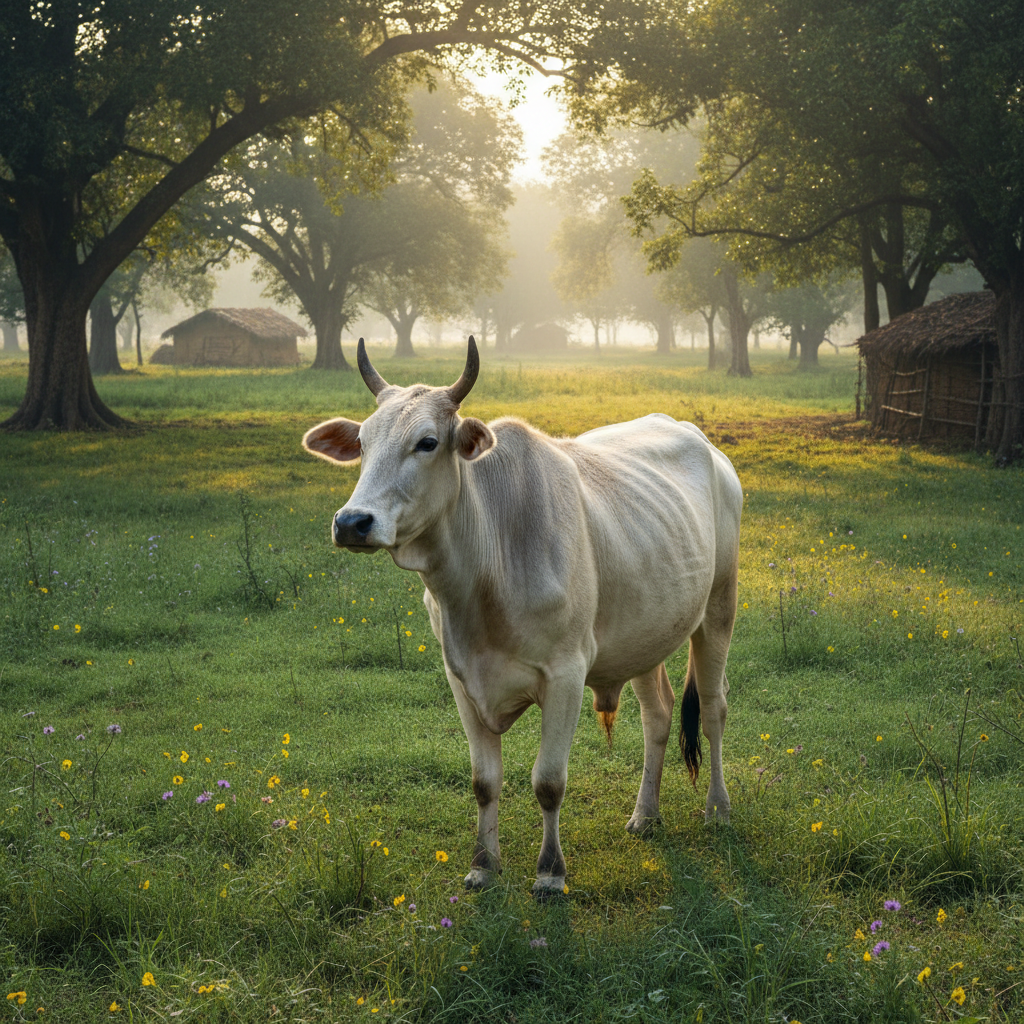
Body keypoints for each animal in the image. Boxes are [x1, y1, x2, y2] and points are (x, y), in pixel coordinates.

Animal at [302, 337, 742, 897]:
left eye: (427, 442)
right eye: (361, 442)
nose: (352, 522)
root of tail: (701, 439)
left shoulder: (566, 675)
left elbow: (549, 782)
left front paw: (550, 872)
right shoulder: (460, 678)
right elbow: (484, 782)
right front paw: (483, 865)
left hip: (719, 609)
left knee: (712, 709)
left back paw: (718, 809)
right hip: (647, 633)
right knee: (658, 716)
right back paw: (645, 815)